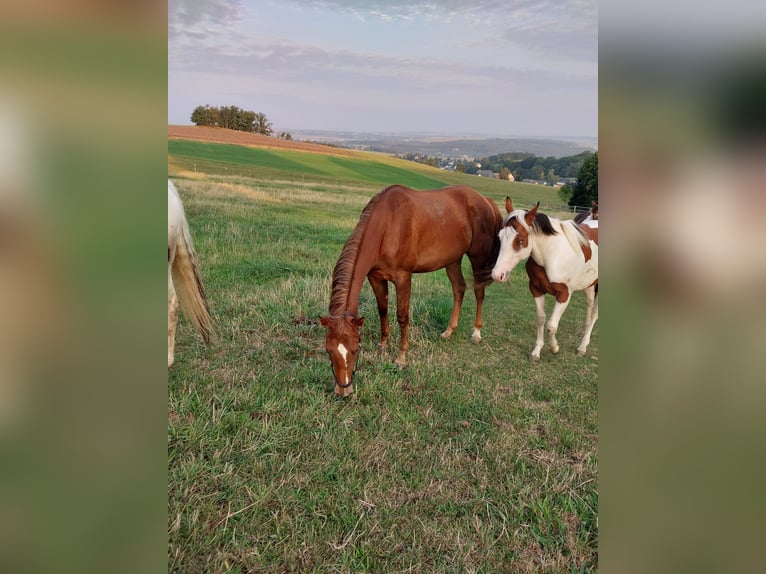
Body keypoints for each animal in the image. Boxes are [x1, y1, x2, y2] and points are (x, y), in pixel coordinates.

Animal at [322, 184, 504, 396]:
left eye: (355, 349)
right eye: (329, 350)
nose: (343, 390)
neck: (387, 224)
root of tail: (486, 200)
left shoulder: (403, 278)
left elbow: (402, 316)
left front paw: (401, 358)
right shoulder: (375, 277)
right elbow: (382, 310)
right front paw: (382, 344)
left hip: (478, 258)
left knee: (479, 292)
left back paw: (476, 333)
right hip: (452, 260)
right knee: (459, 289)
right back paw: (448, 331)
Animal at [492, 198, 600, 360]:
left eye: (521, 240)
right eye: (500, 237)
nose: (497, 274)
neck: (552, 255)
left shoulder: (564, 295)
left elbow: (551, 326)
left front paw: (554, 348)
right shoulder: (536, 290)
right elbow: (541, 319)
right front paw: (536, 351)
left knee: (594, 314)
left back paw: (582, 347)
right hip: (589, 285)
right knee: (589, 309)